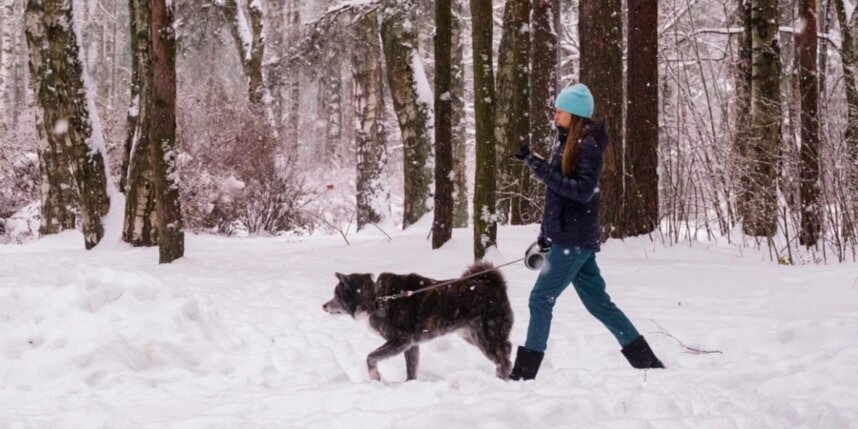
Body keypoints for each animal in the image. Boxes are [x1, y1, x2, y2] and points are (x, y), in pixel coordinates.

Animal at [322, 260, 512, 382]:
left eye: (336, 295)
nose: (323, 305)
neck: (376, 297)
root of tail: (494, 284)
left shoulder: (401, 341)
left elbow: (371, 357)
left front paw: (375, 377)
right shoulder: (411, 345)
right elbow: (411, 370)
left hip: (484, 336)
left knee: (503, 361)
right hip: (471, 335)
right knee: (507, 348)